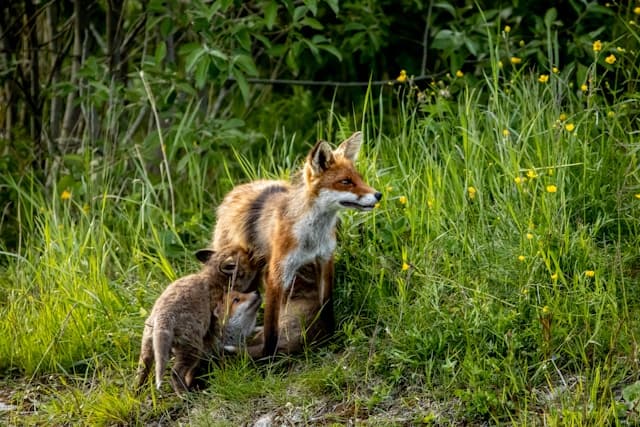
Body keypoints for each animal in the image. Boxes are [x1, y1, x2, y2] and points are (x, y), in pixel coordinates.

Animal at [135, 249, 260, 395]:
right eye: (249, 258)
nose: (257, 292)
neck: (211, 277)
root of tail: (162, 316)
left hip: (148, 349)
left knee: (142, 371)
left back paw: (137, 391)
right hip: (192, 350)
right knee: (175, 373)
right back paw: (185, 394)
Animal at [211, 131, 381, 356]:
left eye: (359, 178)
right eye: (345, 181)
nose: (378, 195)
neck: (311, 238)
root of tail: (235, 191)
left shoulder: (325, 260)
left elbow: (326, 306)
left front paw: (331, 338)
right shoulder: (277, 274)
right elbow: (271, 331)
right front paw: (268, 357)